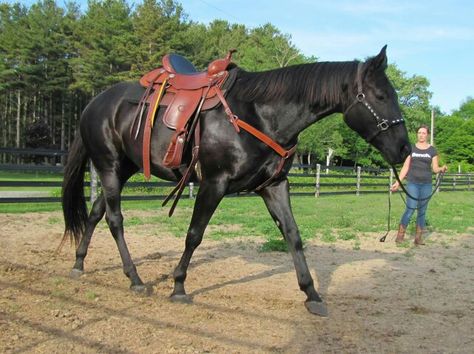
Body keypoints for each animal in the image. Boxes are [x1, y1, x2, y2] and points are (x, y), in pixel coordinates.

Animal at [61, 46, 410, 316]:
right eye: (381, 96)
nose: (405, 148)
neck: (259, 114)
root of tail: (93, 103)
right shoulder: (214, 184)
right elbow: (194, 235)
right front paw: (178, 285)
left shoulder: (274, 186)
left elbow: (293, 236)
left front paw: (312, 294)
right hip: (109, 166)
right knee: (115, 219)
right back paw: (134, 279)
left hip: (123, 169)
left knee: (96, 213)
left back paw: (79, 264)